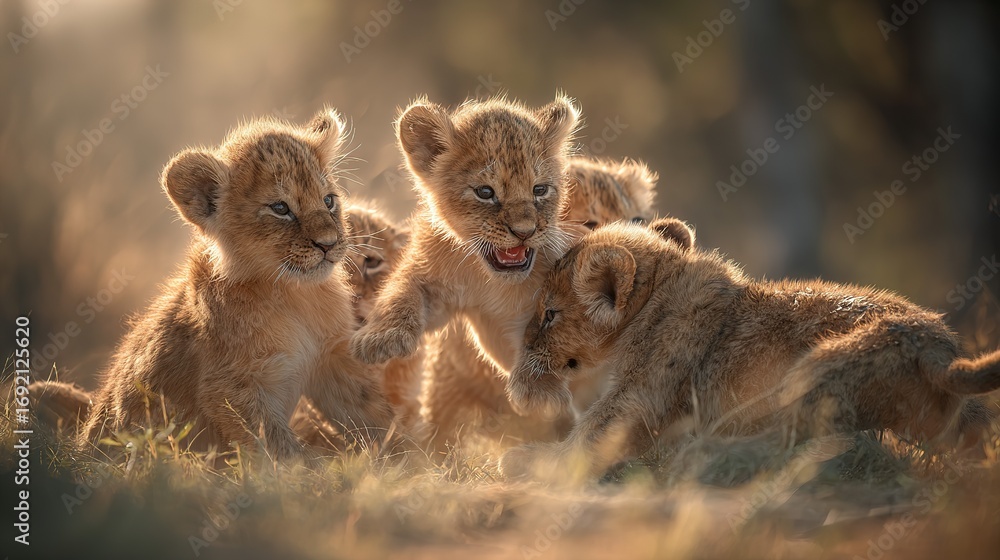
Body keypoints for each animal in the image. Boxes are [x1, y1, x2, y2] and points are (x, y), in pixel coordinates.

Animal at [79, 109, 394, 460]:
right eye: (280, 208)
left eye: (328, 201)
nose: (329, 244)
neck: (295, 294)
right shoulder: (231, 388)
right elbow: (278, 447)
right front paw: (312, 470)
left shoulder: (332, 359)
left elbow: (374, 413)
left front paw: (408, 456)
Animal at [500, 218, 1000, 481]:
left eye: (549, 314)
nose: (523, 345)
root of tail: (939, 349)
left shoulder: (638, 398)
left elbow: (586, 438)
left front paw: (526, 459)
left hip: (817, 368)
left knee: (807, 443)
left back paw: (706, 452)